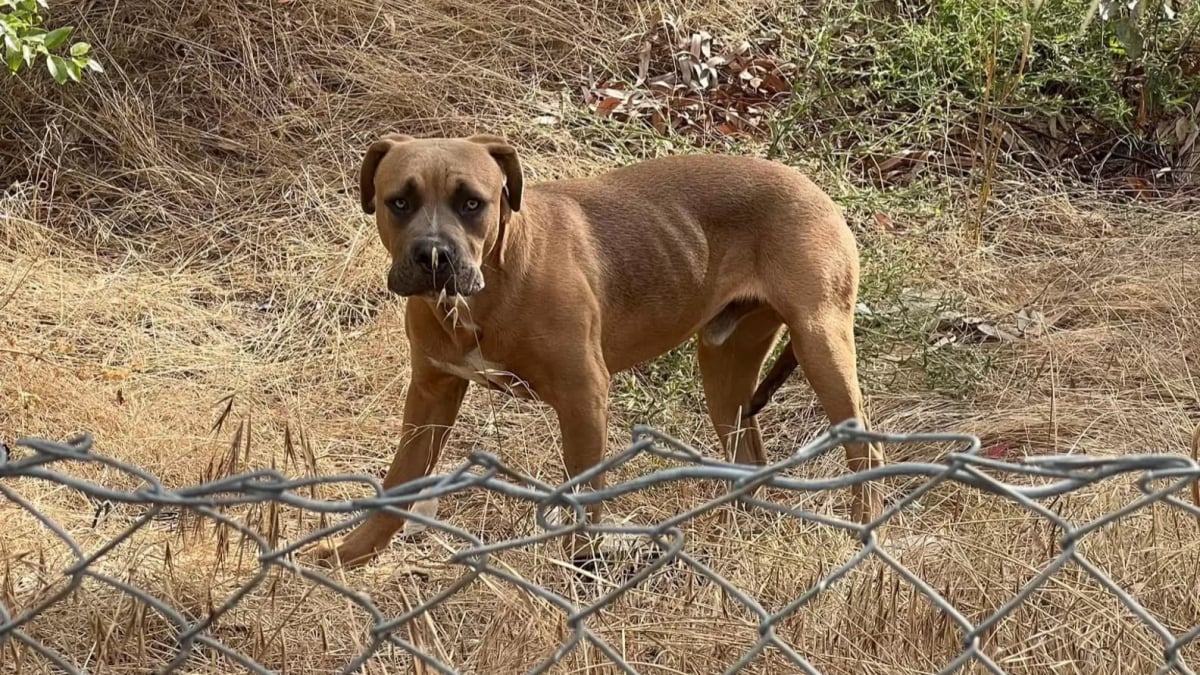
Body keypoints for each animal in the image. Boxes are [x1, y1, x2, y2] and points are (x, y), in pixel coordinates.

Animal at [314, 133, 888, 564]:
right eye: (400, 202)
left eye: (472, 203)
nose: (434, 256)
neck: (492, 280)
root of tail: (814, 187)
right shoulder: (430, 396)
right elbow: (397, 486)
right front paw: (350, 555)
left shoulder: (582, 396)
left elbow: (582, 497)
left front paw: (581, 571)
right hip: (725, 369)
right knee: (748, 456)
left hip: (820, 341)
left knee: (866, 447)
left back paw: (861, 536)